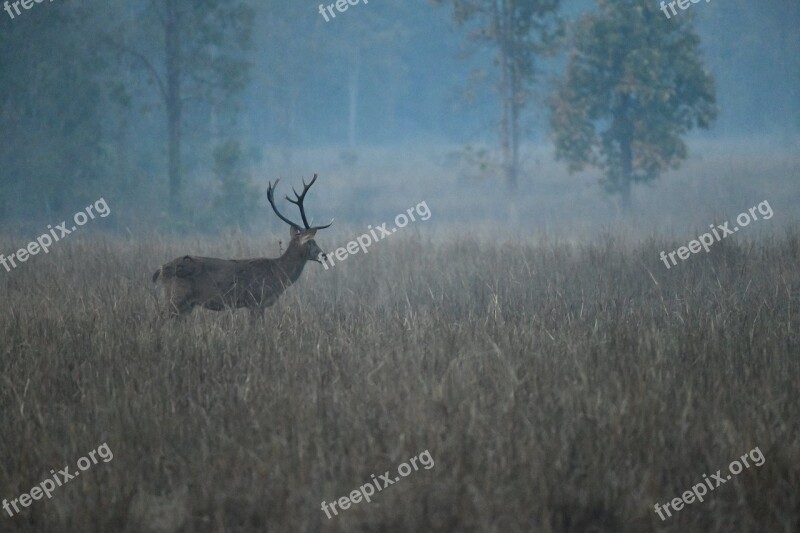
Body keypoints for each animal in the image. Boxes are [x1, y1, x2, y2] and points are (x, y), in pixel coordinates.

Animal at [153, 174, 332, 316]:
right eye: (311, 242)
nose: (324, 255)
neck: (278, 273)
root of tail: (159, 271)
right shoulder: (257, 301)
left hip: (185, 304)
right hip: (176, 297)